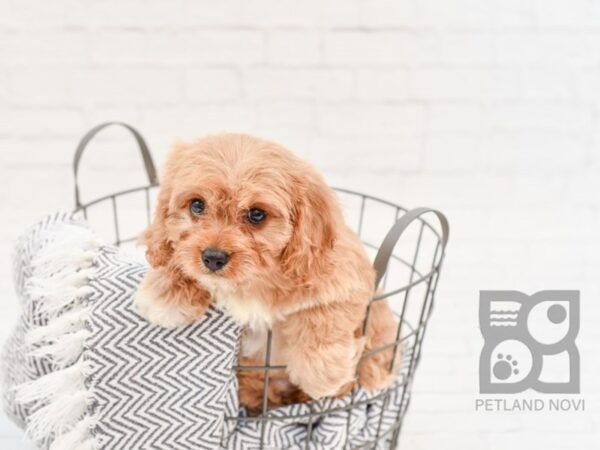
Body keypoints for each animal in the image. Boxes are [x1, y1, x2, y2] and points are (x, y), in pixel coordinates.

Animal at [134, 134, 400, 412]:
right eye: (197, 205)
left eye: (256, 214)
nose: (213, 258)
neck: (254, 280)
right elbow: (176, 255)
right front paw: (166, 294)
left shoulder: (348, 280)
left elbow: (324, 315)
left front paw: (323, 377)